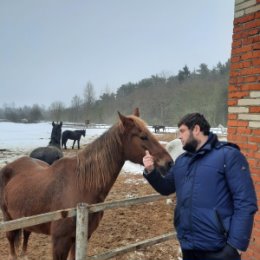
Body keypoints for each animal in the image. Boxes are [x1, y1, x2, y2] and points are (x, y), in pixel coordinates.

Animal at [0, 107, 173, 260]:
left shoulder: (80, 237)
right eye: (143, 136)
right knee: (11, 241)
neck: (80, 185)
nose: (169, 162)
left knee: (26, 235)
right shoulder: (60, 241)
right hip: (9, 219)